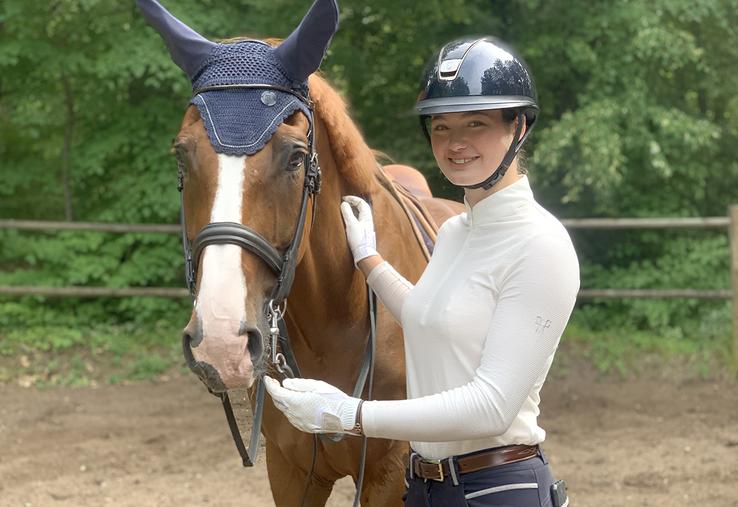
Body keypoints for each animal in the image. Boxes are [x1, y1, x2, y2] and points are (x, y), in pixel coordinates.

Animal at [139, 0, 463, 504]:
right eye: (181, 155)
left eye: (294, 157)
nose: (221, 343)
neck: (336, 319)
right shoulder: (290, 470)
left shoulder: (389, 476)